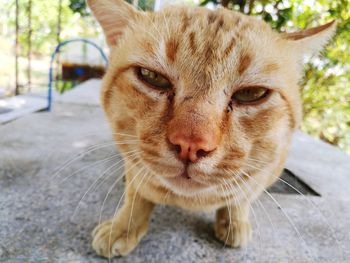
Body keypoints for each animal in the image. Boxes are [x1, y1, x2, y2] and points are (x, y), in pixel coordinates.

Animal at [86, 0, 334, 260]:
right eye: (152, 77)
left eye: (251, 93)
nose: (190, 145)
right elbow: (137, 194)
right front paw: (123, 226)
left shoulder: (264, 173)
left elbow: (242, 197)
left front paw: (234, 221)